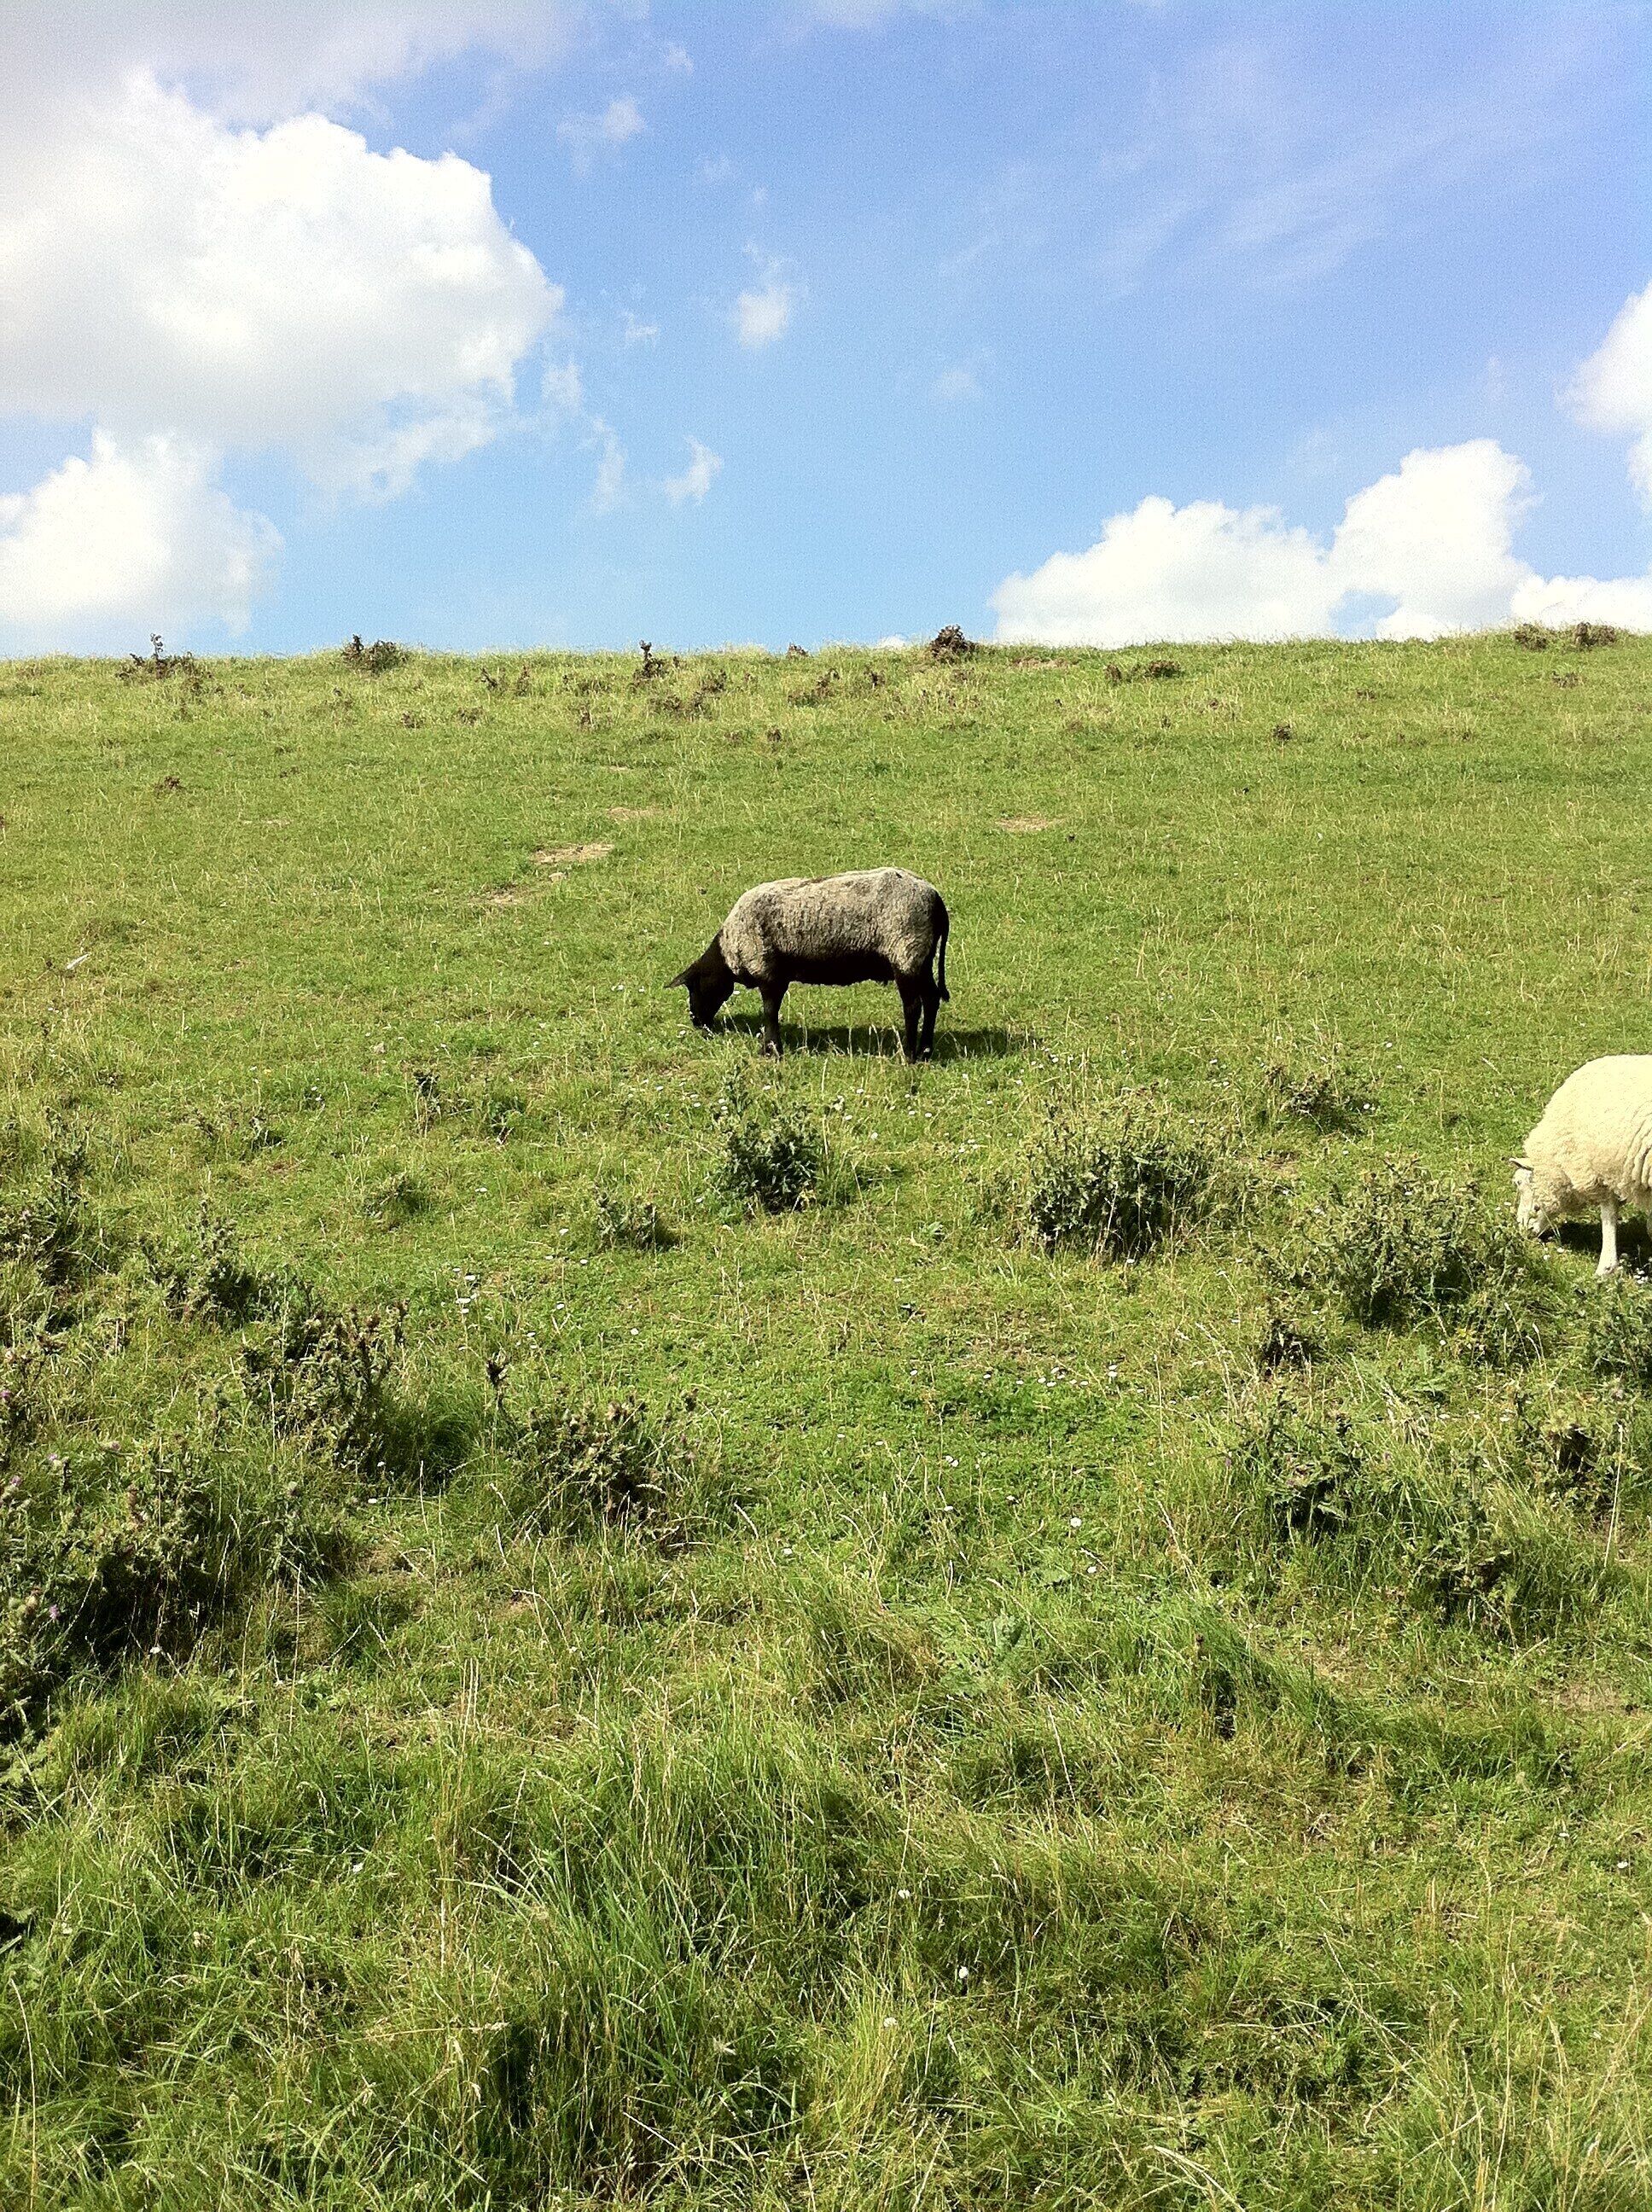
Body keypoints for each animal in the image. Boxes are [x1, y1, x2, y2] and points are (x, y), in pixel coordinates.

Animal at [670, 867, 951, 1059]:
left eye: (693, 987)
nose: (697, 1022)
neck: (728, 951)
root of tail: (936, 900)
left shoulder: (767, 969)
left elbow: (770, 1011)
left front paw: (771, 1050)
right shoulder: (778, 975)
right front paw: (771, 1047)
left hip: (906, 951)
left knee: (913, 1006)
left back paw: (909, 1055)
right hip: (923, 959)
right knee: (932, 999)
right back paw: (926, 1051)